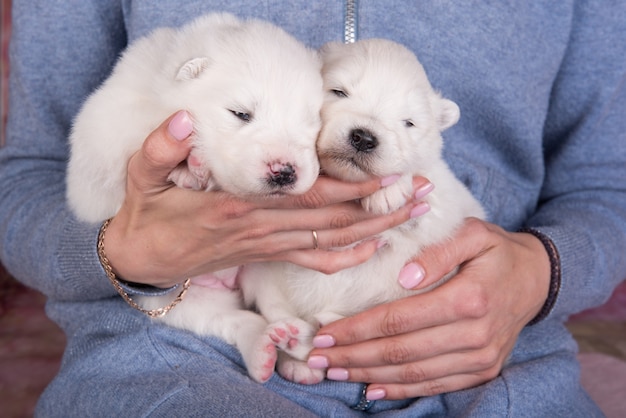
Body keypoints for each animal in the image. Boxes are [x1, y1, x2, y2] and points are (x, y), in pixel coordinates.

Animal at [66, 13, 324, 384]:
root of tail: (227, 280)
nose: (285, 172)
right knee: (238, 321)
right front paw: (189, 166)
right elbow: (138, 135)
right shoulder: (109, 126)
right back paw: (267, 350)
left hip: (266, 266)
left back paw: (296, 348)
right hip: (176, 303)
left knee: (272, 306)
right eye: (240, 113)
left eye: (312, 120)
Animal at [239, 39, 482, 386]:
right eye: (339, 92)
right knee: (279, 309)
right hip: (261, 274)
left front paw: (391, 190)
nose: (364, 137)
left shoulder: (442, 200)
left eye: (408, 122)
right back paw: (296, 348)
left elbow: (424, 195)